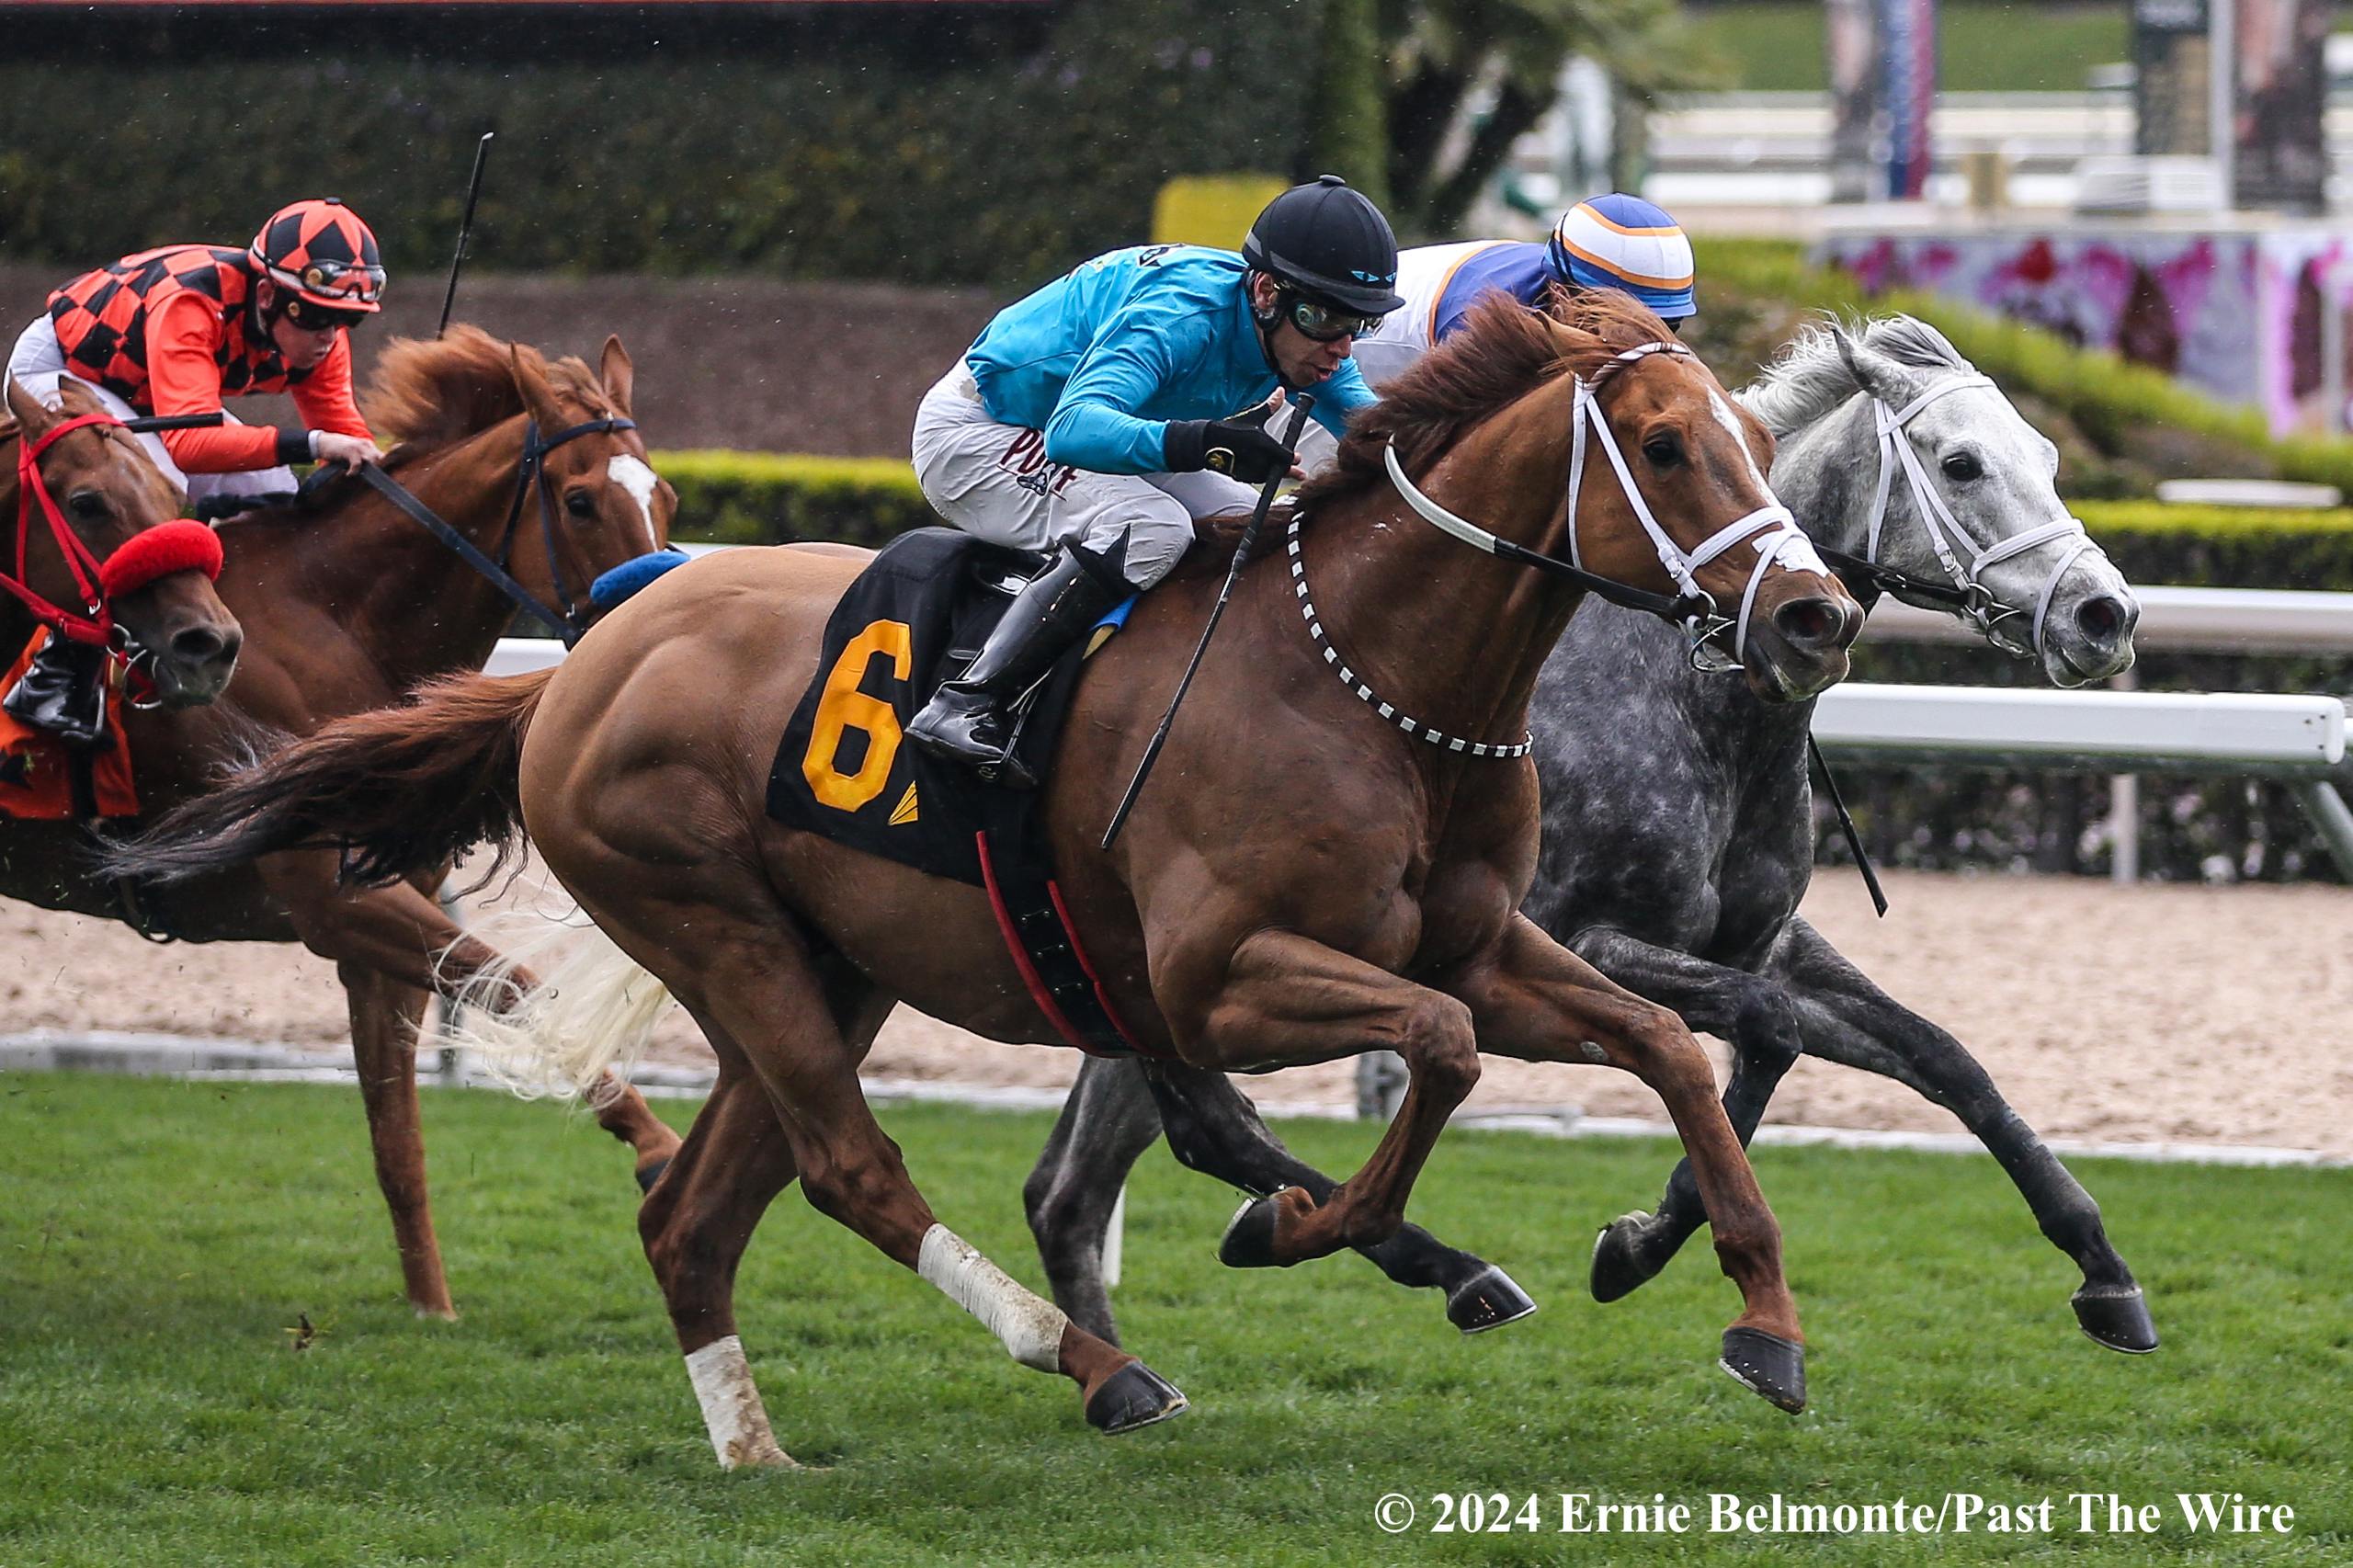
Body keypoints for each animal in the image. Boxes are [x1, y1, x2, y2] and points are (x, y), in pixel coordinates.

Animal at [124, 296, 1854, 1469]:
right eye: (1664, 446)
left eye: (1763, 442)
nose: (1820, 618)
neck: (1366, 675)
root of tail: (581, 661)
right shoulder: (1221, 972)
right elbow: (1432, 1050)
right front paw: (1295, 1228)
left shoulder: (1491, 940)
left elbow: (1662, 1045)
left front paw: (1756, 1321)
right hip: (721, 927)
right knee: (848, 1169)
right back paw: (1090, 1361)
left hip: (826, 963)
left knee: (696, 1215)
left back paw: (753, 1445)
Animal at [1021, 308, 2154, 1356]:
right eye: (1961, 462)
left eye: (2047, 457)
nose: (2104, 614)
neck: (1698, 709)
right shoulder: (1580, 936)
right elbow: (1765, 1033)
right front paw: (1641, 1243)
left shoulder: (1758, 942)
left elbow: (1936, 1056)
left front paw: (2103, 1268)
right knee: (1196, 1130)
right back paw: (1399, 1260)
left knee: (1071, 1185)